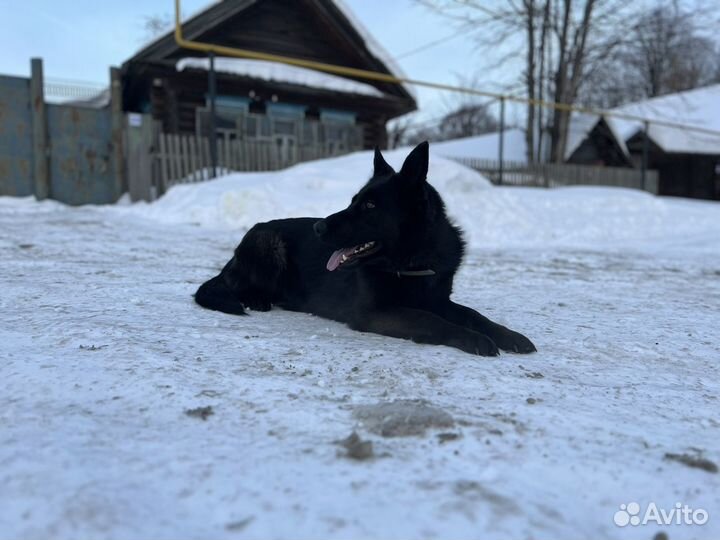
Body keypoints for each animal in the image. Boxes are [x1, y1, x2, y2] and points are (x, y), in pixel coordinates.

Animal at [195, 141, 536, 356]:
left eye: (370, 206)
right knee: (237, 286)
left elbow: (474, 314)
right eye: (353, 201)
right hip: (268, 242)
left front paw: (508, 336)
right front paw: (474, 339)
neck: (413, 262)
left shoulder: (439, 301)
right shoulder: (375, 313)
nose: (318, 229)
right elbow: (431, 321)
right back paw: (257, 299)